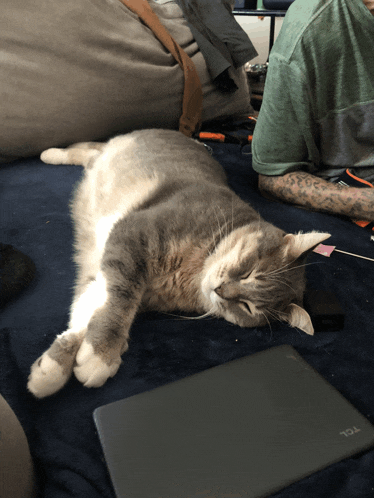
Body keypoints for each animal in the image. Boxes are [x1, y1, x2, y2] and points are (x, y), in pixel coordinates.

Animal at [27, 127, 330, 396]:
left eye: (248, 307)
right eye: (249, 272)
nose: (221, 289)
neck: (192, 273)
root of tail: (183, 135)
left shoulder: (118, 278)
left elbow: (87, 314)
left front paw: (53, 370)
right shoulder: (133, 236)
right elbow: (117, 303)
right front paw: (99, 356)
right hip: (112, 153)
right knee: (88, 148)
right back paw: (50, 153)